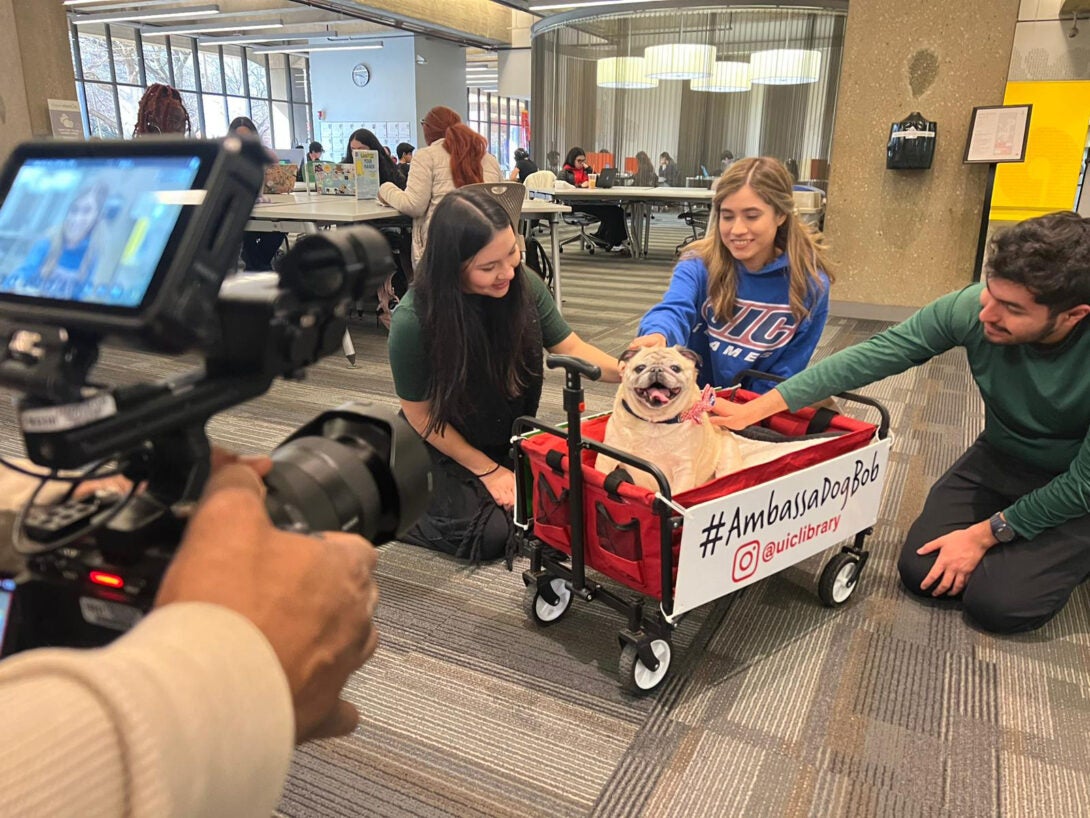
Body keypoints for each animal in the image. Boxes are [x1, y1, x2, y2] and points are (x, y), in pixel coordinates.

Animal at [597, 346, 741, 492]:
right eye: (640, 368)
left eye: (675, 368)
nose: (656, 369)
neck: (655, 421)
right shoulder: (607, 458)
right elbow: (601, 473)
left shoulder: (684, 469)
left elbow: (679, 492)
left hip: (727, 461)